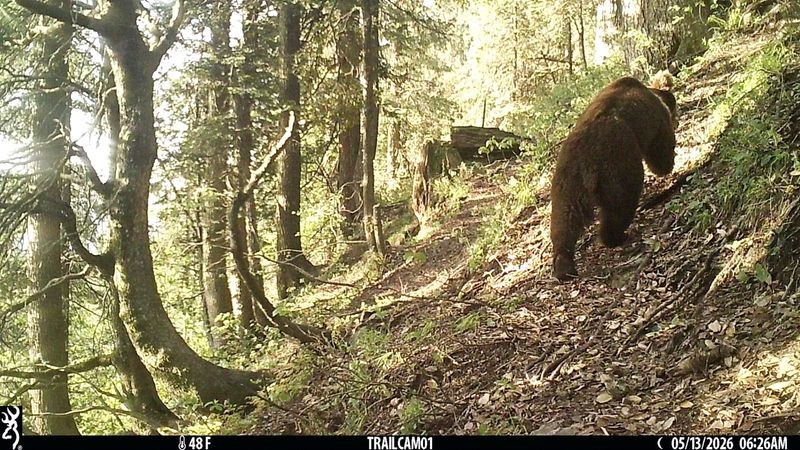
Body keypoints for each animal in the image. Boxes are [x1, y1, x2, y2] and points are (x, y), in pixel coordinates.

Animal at [549, 74, 678, 281]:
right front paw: (669, 164)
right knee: (621, 204)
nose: (677, 121)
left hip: (566, 181)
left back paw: (564, 266)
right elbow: (660, 152)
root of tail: (586, 160)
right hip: (616, 166)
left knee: (564, 219)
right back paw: (616, 237)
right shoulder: (655, 122)